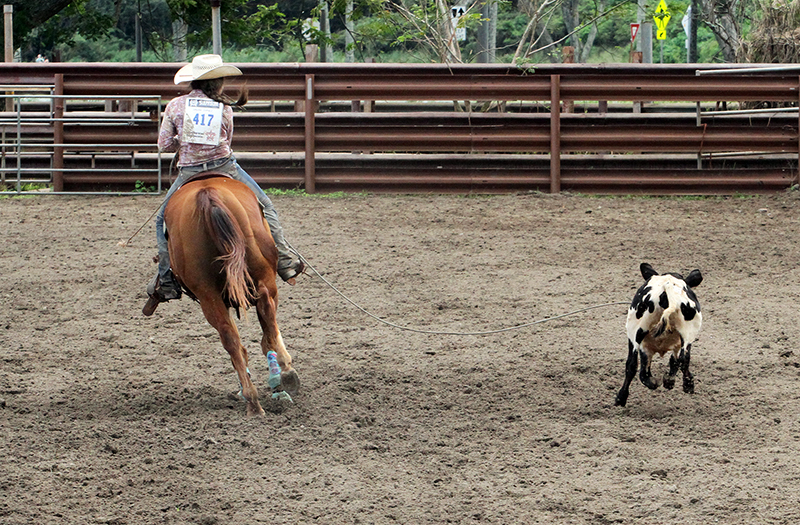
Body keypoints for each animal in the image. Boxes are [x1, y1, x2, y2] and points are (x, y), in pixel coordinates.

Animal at [152, 178, 296, 416]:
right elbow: (269, 334)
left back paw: (252, 400)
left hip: (208, 295)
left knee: (230, 338)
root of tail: (208, 194)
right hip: (264, 281)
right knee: (266, 319)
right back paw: (282, 376)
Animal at [616, 264, 704, 408]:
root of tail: (666, 286)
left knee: (632, 364)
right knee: (684, 358)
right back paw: (687, 384)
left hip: (635, 333)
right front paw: (669, 381)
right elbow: (674, 361)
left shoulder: (645, 347)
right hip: (688, 333)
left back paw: (621, 397)